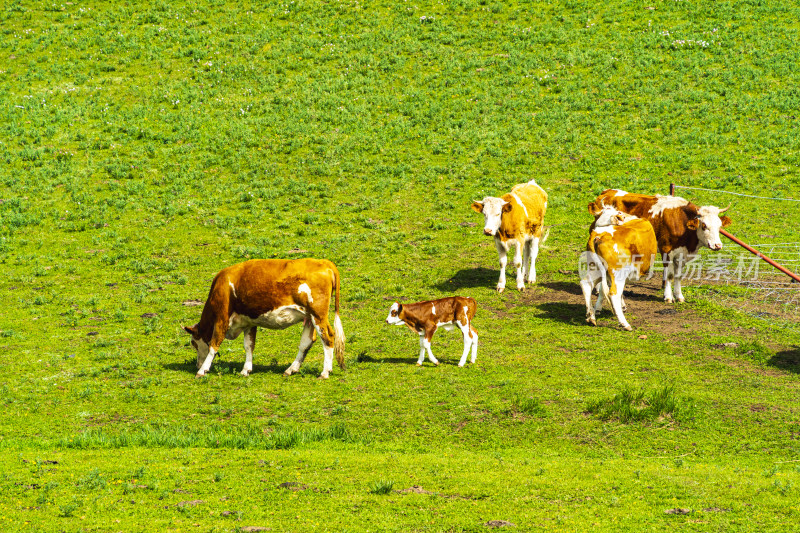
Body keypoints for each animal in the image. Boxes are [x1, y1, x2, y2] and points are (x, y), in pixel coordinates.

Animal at [184, 258, 346, 378]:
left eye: (193, 343)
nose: (197, 364)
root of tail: (325, 262)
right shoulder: (249, 322)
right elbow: (249, 345)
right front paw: (246, 370)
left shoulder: (221, 318)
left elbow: (214, 344)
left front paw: (202, 370)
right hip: (309, 317)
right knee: (306, 342)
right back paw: (291, 369)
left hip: (318, 315)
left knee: (328, 337)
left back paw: (325, 372)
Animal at [588, 189, 732, 302]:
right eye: (704, 225)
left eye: (719, 226)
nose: (717, 245)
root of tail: (606, 192)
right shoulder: (666, 250)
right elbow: (669, 275)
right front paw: (668, 297)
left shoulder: (682, 254)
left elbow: (678, 275)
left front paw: (679, 296)